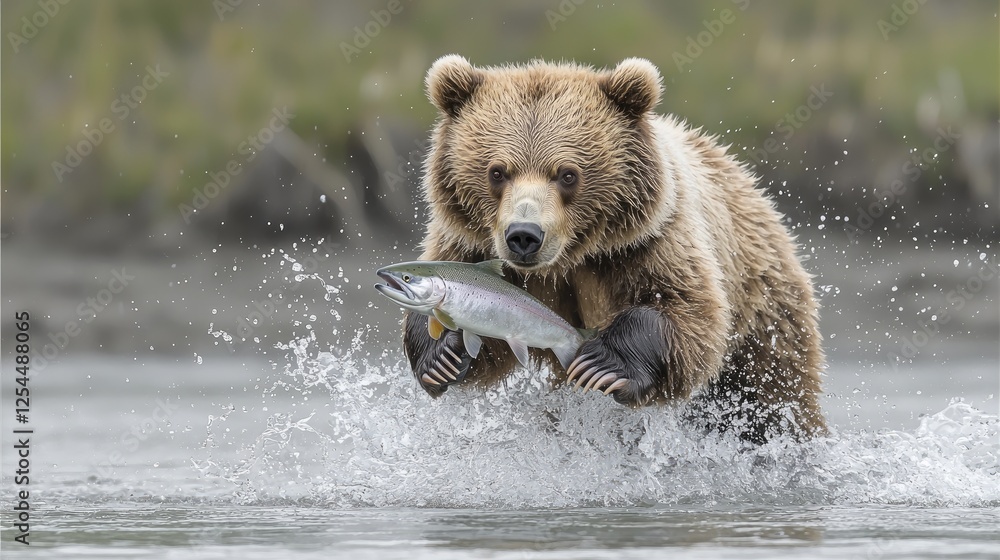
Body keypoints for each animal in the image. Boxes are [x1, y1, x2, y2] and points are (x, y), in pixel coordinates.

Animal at [401, 55, 826, 442]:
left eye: (567, 174)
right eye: (497, 171)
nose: (524, 235)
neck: (567, 260)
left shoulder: (648, 241)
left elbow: (689, 314)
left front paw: (604, 363)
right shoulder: (468, 245)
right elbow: (490, 338)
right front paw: (442, 353)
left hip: (765, 315)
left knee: (768, 401)